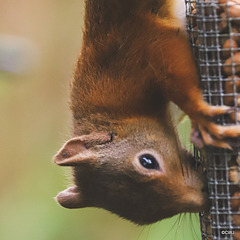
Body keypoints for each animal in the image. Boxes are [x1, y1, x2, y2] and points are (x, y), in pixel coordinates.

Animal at [53, 0, 240, 225]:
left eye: (147, 161)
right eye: (144, 217)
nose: (204, 198)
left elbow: (175, 73)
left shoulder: (143, 47)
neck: (116, 115)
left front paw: (202, 116)